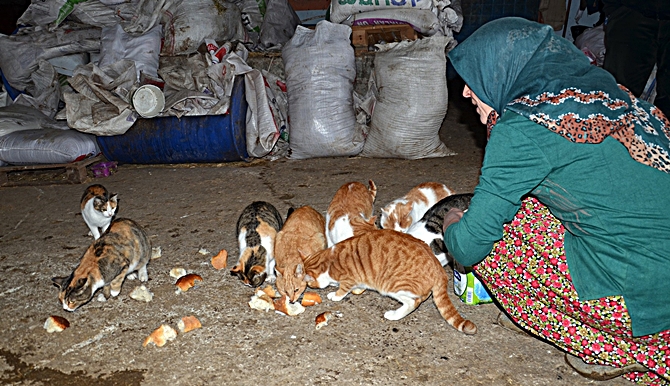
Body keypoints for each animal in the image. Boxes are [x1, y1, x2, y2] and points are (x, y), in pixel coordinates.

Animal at [302, 229, 480, 334]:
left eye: (309, 284)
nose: (307, 287)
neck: (328, 260)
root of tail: (440, 270)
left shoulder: (348, 279)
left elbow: (342, 290)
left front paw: (334, 294)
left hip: (392, 286)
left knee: (413, 302)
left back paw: (394, 315)